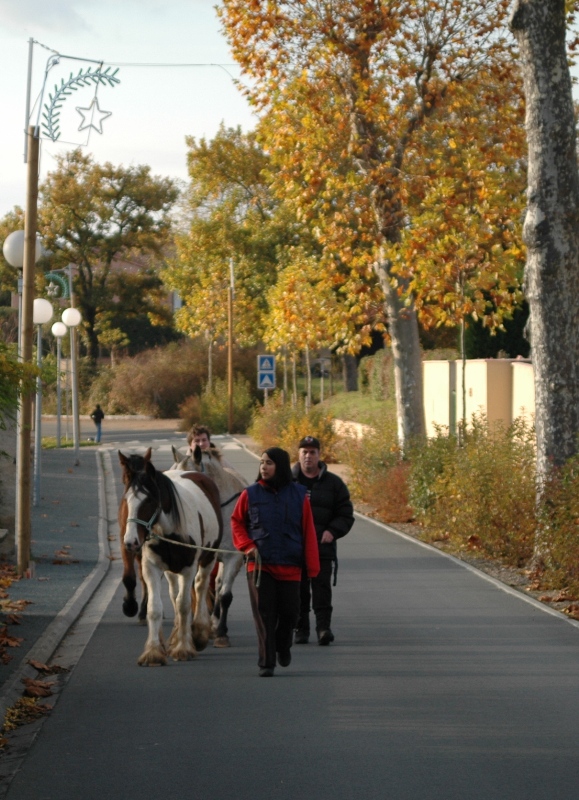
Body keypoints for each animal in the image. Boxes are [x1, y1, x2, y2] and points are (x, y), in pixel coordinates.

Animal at [121, 446, 223, 664]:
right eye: (127, 500)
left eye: (149, 501)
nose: (131, 542)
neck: (169, 531)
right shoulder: (151, 567)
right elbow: (155, 608)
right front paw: (153, 652)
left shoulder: (188, 568)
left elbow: (184, 605)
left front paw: (184, 648)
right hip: (169, 571)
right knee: (174, 594)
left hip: (208, 559)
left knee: (200, 587)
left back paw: (198, 633)